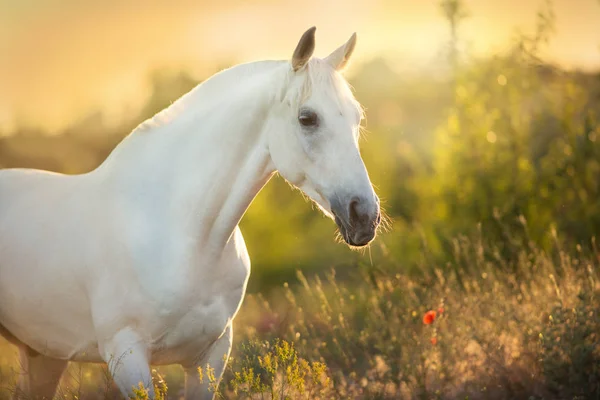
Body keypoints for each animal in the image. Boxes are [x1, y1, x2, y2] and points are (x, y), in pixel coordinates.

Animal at [0, 26, 380, 398]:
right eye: (307, 118)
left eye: (357, 118)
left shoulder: (210, 355)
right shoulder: (127, 356)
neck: (184, 236)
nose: (365, 215)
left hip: (43, 355)